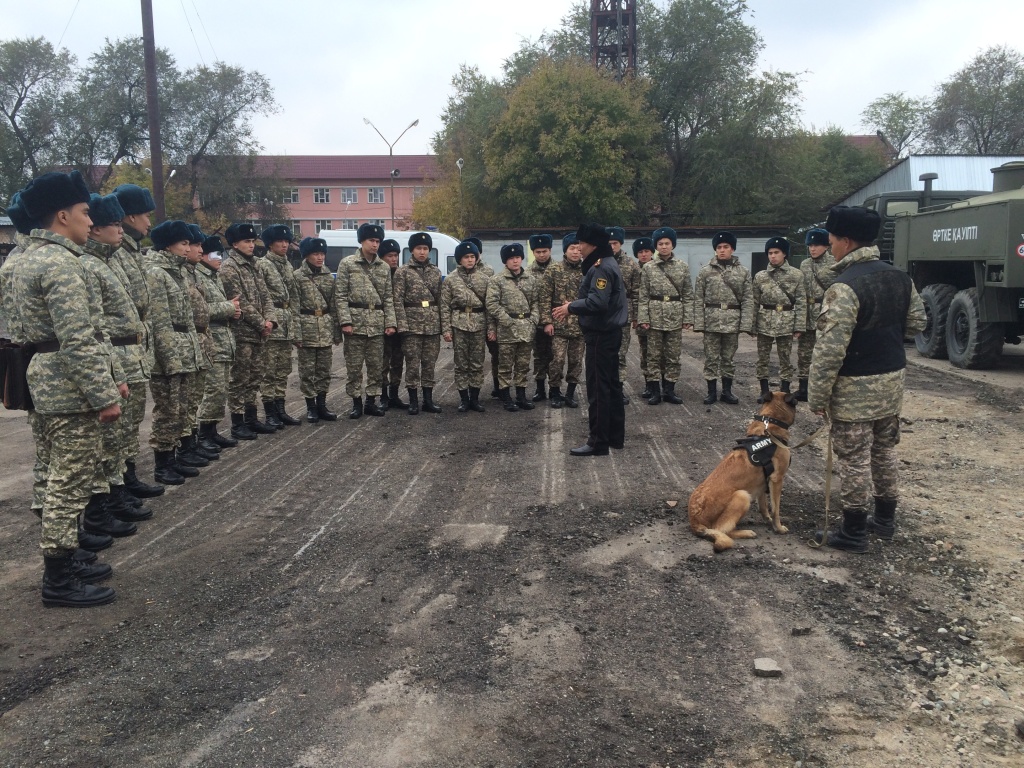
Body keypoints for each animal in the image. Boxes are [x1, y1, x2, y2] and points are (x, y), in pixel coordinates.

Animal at [688, 393, 798, 548]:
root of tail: (695, 521)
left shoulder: (763, 482)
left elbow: (764, 507)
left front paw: (768, 521)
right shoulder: (777, 479)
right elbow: (776, 510)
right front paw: (779, 528)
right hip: (742, 496)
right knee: (721, 530)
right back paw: (746, 532)